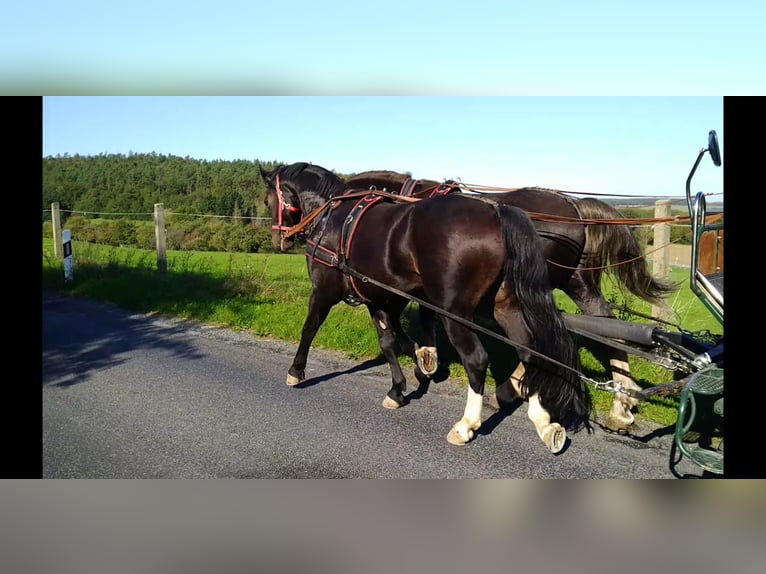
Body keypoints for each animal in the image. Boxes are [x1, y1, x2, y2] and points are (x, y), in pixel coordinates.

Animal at [260, 160, 592, 452]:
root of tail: (497, 212)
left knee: (476, 359)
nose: (280, 241)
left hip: (455, 312)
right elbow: (388, 341)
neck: (335, 217)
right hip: (505, 305)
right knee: (529, 351)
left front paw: (296, 371)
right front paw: (400, 386)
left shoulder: (324, 291)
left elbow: (310, 328)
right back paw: (544, 421)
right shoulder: (378, 296)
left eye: (267, 201)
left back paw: (466, 424)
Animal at [346, 169, 680, 430]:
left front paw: (423, 362)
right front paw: (421, 359)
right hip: (577, 282)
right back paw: (622, 402)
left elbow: (419, 318)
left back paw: (512, 389)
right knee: (605, 329)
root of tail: (575, 206)